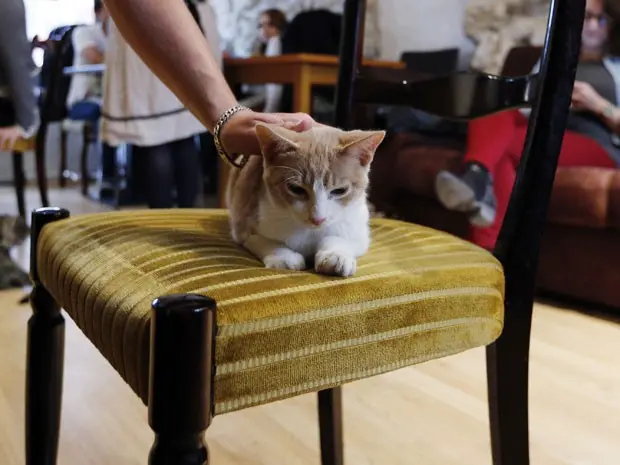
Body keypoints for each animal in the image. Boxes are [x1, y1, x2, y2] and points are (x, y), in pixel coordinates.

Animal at [225, 122, 386, 276]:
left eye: (340, 191)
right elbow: (260, 239)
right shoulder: (243, 224)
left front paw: (335, 254)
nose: (317, 219)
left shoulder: (358, 230)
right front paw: (283, 256)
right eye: (296, 189)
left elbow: (342, 238)